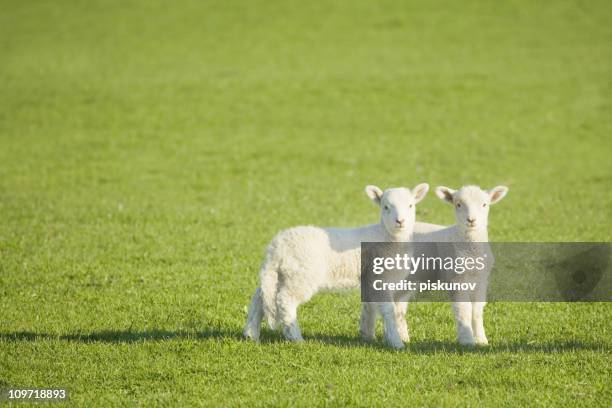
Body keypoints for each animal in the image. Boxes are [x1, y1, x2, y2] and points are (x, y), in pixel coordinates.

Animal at [241, 184, 428, 348]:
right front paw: (396, 342)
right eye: (386, 207)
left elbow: (369, 306)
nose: (400, 221)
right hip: (301, 275)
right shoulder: (381, 277)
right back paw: (296, 338)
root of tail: (276, 247)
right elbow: (389, 310)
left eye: (411, 205)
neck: (387, 236)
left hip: (281, 274)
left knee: (260, 297)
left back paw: (251, 334)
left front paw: (367, 336)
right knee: (285, 300)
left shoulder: (370, 278)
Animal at [360, 186, 510, 346]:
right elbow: (464, 309)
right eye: (458, 204)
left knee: (397, 305)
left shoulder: (481, 281)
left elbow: (476, 310)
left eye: (484, 205)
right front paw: (467, 341)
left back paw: (396, 336)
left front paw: (482, 340)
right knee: (371, 303)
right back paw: (369, 335)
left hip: (405, 279)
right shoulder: (456, 279)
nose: (471, 220)